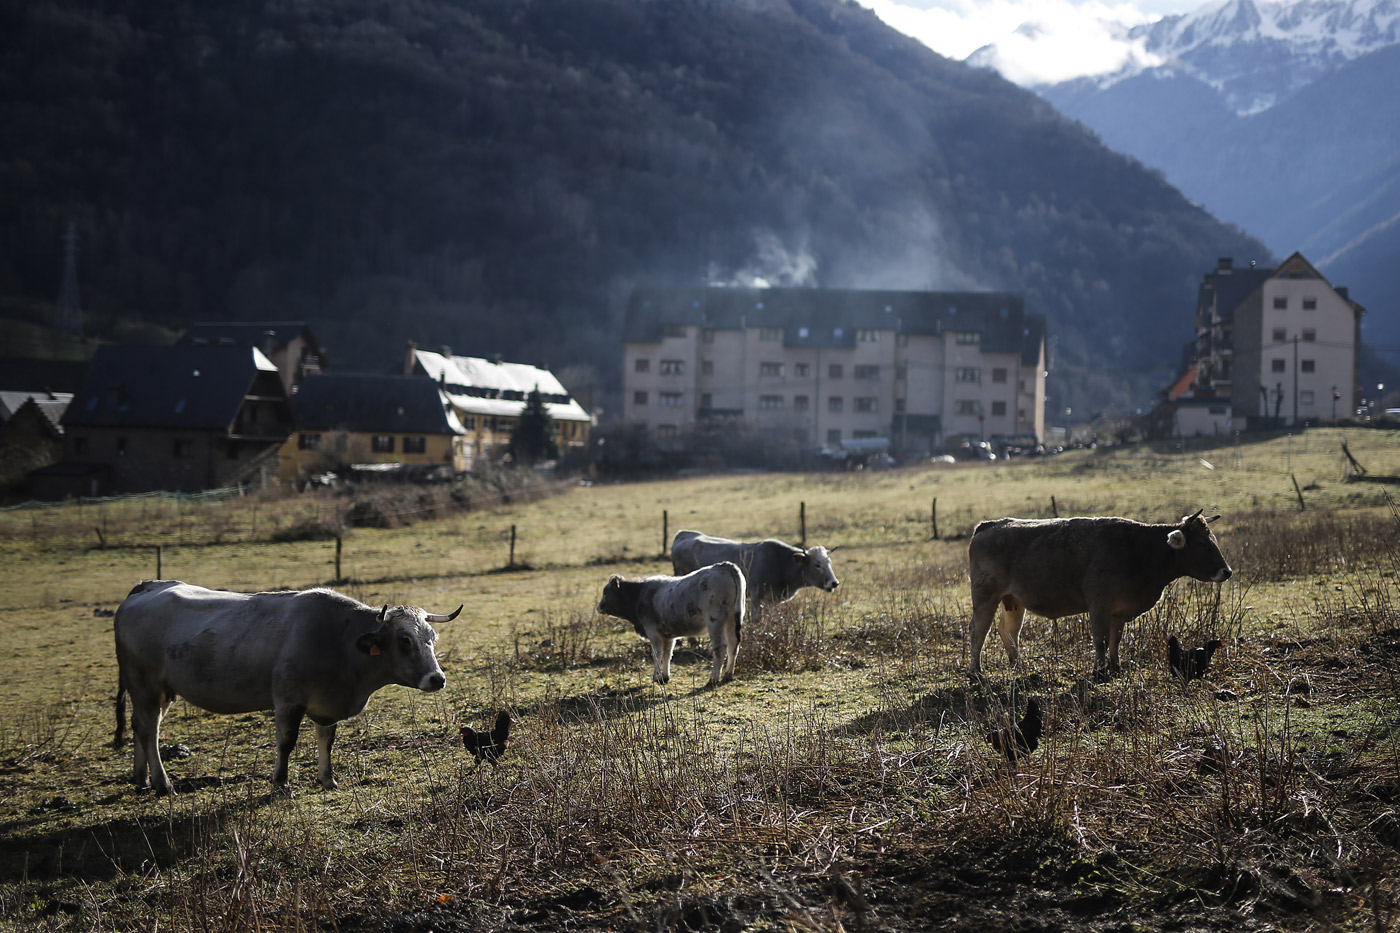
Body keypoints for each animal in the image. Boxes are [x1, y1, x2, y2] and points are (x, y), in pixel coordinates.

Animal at [114, 582, 462, 790]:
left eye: (431, 638)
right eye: (404, 640)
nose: (437, 678)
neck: (339, 640)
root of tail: (148, 587)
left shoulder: (327, 703)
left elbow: (327, 741)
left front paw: (327, 779)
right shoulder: (288, 700)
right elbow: (286, 742)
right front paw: (280, 784)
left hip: (159, 691)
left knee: (141, 726)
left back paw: (141, 779)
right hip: (144, 685)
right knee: (149, 729)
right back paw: (162, 783)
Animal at [596, 560, 750, 683]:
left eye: (605, 592)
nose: (599, 607)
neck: (640, 595)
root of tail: (724, 565)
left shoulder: (653, 632)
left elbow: (657, 654)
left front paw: (656, 677)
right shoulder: (668, 635)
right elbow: (667, 654)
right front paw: (664, 677)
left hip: (715, 620)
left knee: (720, 647)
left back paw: (713, 678)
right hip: (734, 617)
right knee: (733, 643)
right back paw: (728, 675)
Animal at [669, 526, 840, 607]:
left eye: (829, 563)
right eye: (817, 565)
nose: (834, 583)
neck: (781, 563)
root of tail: (683, 534)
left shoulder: (771, 600)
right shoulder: (756, 595)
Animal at [968, 509, 1232, 675]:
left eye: (1214, 542)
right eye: (1203, 545)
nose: (1227, 571)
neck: (1138, 549)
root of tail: (989, 525)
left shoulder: (1118, 611)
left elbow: (1115, 639)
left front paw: (1116, 668)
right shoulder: (1099, 605)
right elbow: (1101, 640)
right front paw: (1099, 671)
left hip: (1013, 601)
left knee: (1009, 632)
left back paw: (1017, 666)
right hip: (985, 597)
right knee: (978, 631)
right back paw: (976, 672)